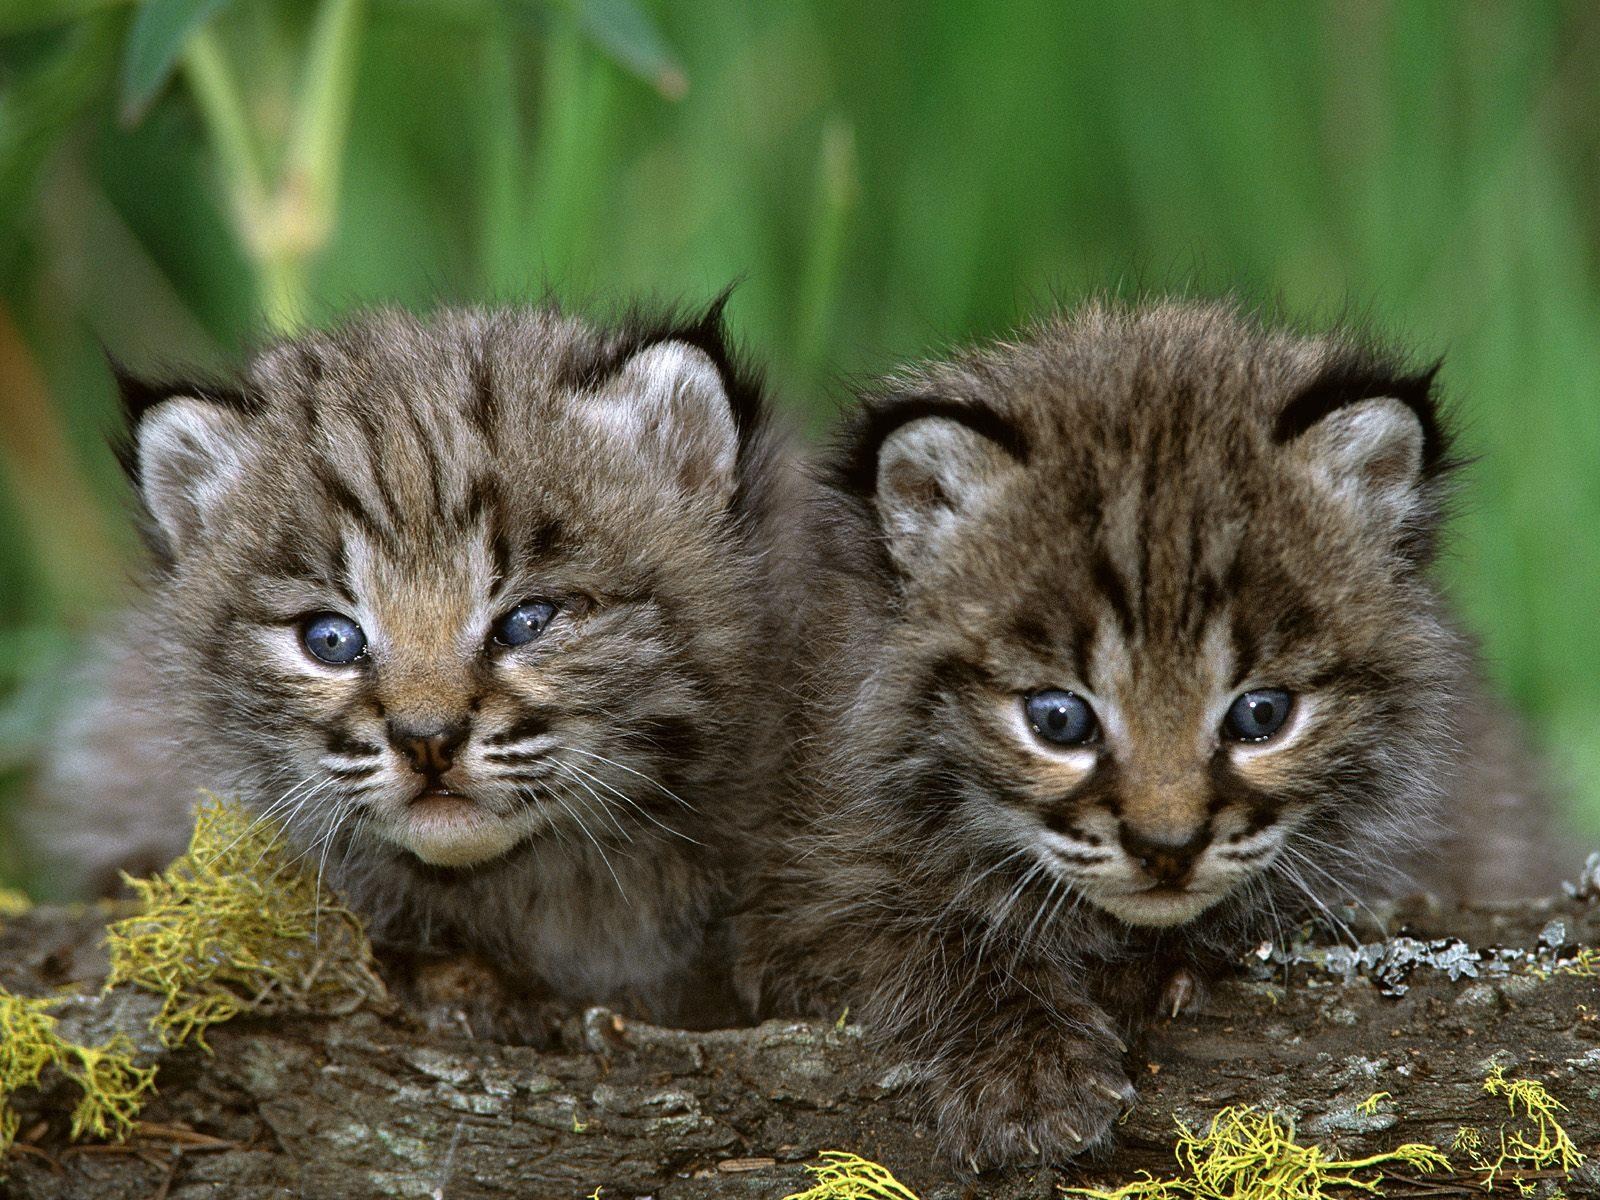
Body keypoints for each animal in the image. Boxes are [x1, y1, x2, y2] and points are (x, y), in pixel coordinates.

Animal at [736, 302, 1536, 1177]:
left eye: (1261, 715)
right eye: (1059, 720)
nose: (1167, 849)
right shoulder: (785, 880)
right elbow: (904, 927)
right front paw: (1027, 1073)